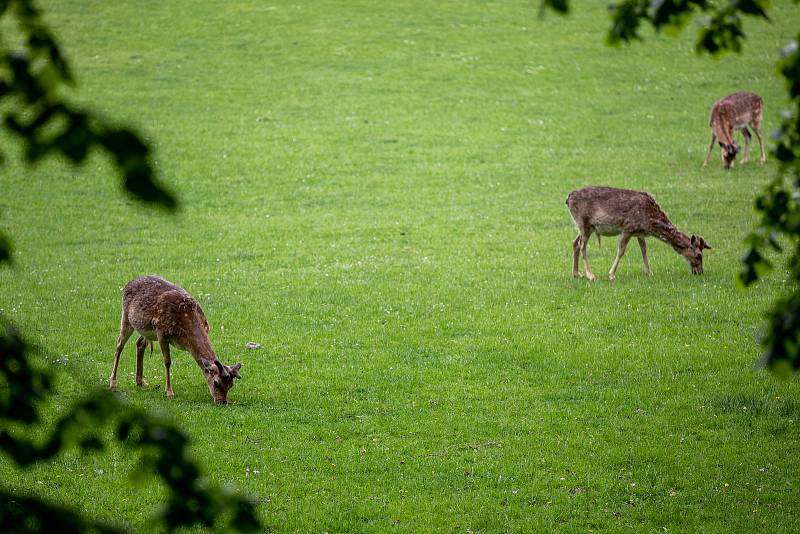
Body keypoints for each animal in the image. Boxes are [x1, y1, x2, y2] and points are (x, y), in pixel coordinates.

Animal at [108, 276, 242, 406]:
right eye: (216, 382)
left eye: (231, 385)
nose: (222, 402)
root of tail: (128, 283)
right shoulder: (162, 333)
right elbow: (167, 362)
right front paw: (169, 392)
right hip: (126, 317)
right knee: (119, 345)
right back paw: (113, 382)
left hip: (146, 331)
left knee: (139, 344)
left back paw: (141, 382)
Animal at [564, 187, 708, 282]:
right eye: (699, 255)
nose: (700, 272)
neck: (650, 221)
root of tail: (568, 199)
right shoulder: (628, 227)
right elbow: (621, 251)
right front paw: (611, 274)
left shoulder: (640, 232)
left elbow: (644, 250)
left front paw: (649, 272)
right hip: (583, 223)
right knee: (582, 246)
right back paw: (590, 275)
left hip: (584, 227)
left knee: (575, 243)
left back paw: (576, 273)